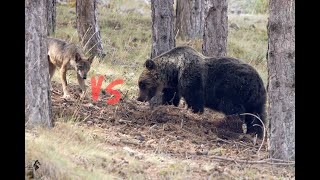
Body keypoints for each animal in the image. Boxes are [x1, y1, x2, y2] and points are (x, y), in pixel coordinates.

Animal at [136, 46, 266, 136]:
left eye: (141, 83)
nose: (139, 98)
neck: (174, 70)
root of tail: (257, 81)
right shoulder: (174, 85)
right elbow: (171, 96)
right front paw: (167, 105)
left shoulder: (191, 78)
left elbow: (194, 98)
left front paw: (193, 111)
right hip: (255, 98)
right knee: (257, 115)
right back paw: (255, 132)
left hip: (233, 90)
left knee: (234, 109)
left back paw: (232, 127)